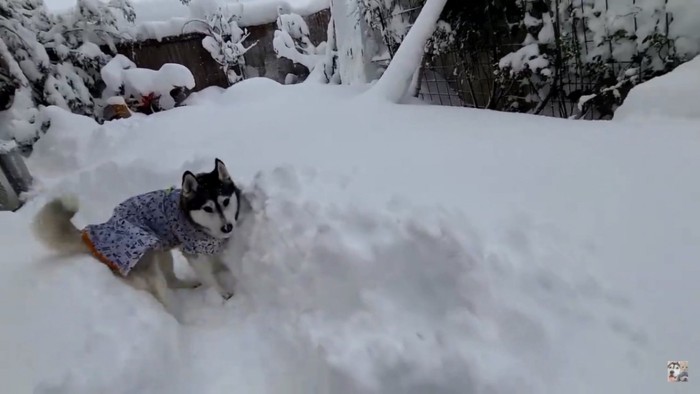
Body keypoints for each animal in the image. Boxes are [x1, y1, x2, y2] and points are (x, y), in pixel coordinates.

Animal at [32, 158, 241, 318]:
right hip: (145, 257)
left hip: (161, 251)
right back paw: (177, 319)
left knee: (170, 280)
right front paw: (223, 293)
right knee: (159, 288)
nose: (227, 227)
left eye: (225, 201)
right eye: (207, 208)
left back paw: (187, 285)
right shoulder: (192, 252)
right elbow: (209, 277)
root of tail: (92, 235)